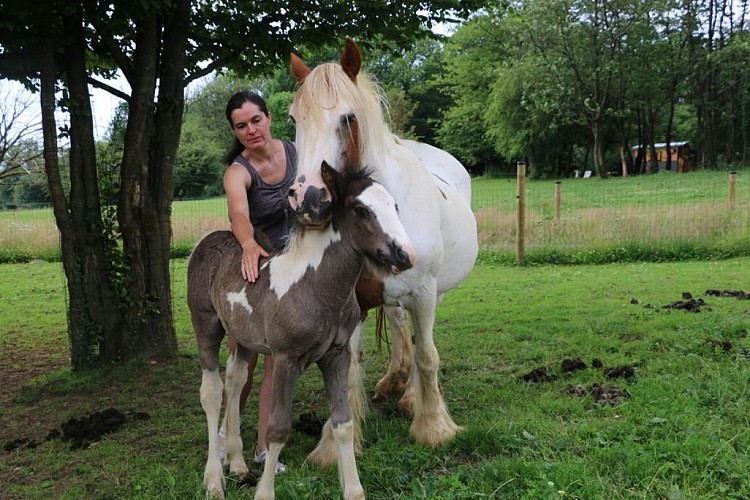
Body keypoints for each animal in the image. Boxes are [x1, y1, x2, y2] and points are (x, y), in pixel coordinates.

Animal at [188, 161, 415, 500]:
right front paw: (265, 493)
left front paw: (354, 491)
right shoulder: (286, 358)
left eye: (395, 206)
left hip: (243, 338)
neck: (316, 287)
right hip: (206, 325)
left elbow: (343, 423)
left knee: (235, 381)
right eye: (361, 210)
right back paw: (214, 481)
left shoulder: (336, 355)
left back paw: (238, 465)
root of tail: (206, 241)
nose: (406, 254)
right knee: (213, 392)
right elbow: (278, 429)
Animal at [287, 39, 479, 458]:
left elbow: (428, 356)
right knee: (399, 324)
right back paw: (397, 382)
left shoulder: (423, 291)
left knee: (420, 339)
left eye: (347, 118)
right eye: (294, 119)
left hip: (434, 291)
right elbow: (347, 366)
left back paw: (410, 397)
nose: (308, 199)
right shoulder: (352, 301)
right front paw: (335, 445)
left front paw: (434, 427)